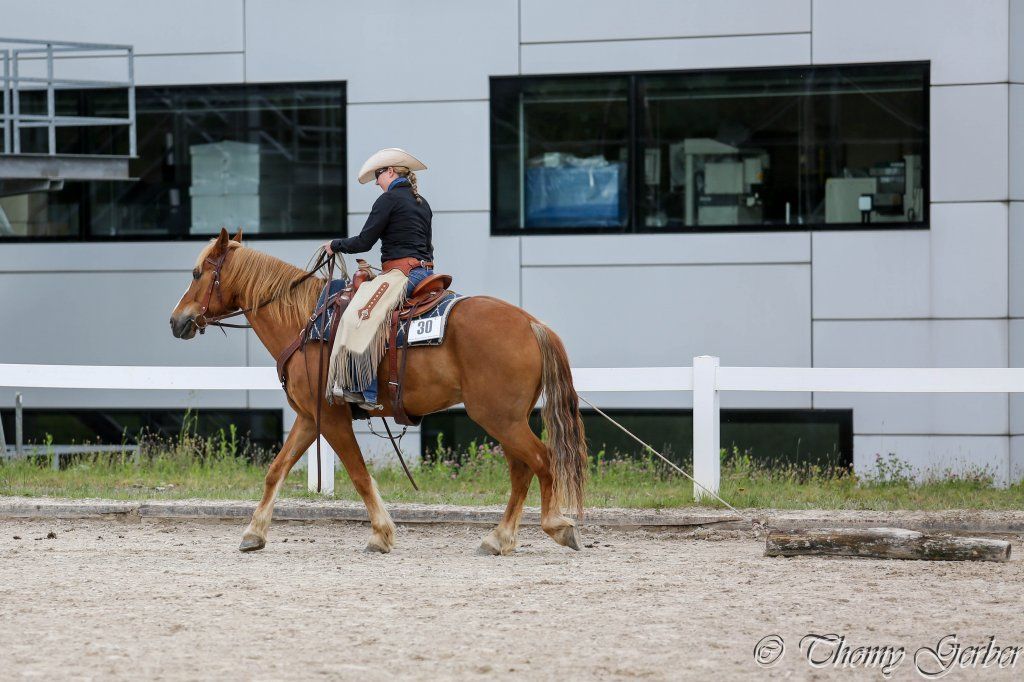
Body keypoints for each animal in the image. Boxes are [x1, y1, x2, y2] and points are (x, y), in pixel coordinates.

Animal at [169, 228, 587, 555]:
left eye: (197, 273)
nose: (176, 321)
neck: (305, 322)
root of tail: (531, 323)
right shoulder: (308, 418)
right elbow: (276, 470)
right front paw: (253, 533)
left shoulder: (332, 419)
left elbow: (358, 474)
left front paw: (381, 535)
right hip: (508, 419)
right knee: (522, 469)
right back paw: (498, 539)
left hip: (500, 418)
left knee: (542, 459)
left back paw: (555, 525)